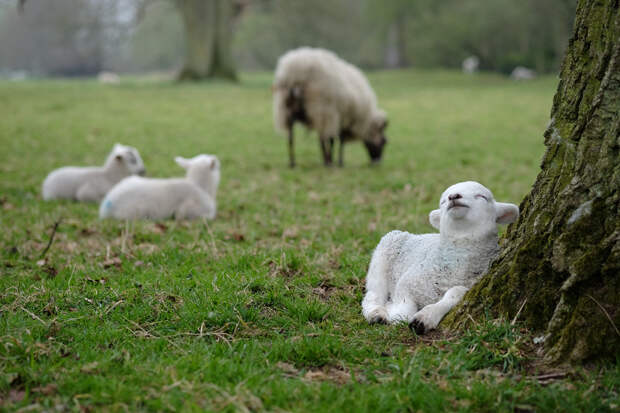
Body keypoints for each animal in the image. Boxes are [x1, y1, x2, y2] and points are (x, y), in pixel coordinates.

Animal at [360, 181, 520, 334]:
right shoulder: (408, 283)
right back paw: (376, 314)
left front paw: (424, 318)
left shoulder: (472, 284)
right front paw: (394, 314)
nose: (453, 196)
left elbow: (454, 293)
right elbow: (404, 310)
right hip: (382, 256)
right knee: (372, 295)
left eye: (482, 196)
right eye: (443, 201)